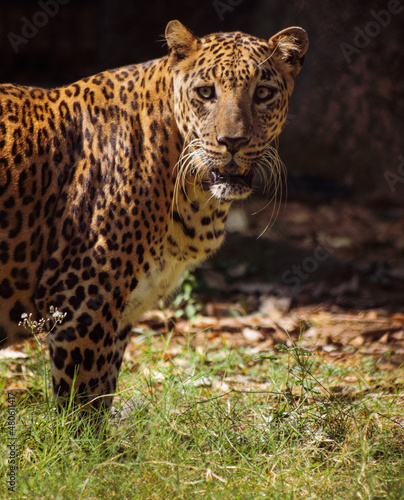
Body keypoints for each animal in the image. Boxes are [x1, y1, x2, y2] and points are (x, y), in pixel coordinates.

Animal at [0, 20, 310, 410]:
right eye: (206, 92)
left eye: (263, 93)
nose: (233, 142)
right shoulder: (81, 301)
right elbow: (83, 406)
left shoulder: (118, 315)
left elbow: (102, 396)